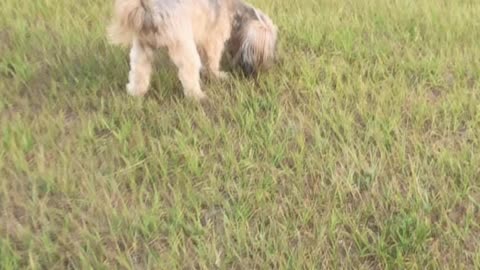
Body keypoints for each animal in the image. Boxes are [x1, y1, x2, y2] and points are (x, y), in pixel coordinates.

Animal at [106, 0, 276, 100]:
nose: (269, 66)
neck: (234, 10)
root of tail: (149, 11)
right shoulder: (213, 38)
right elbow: (212, 60)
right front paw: (217, 75)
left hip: (141, 50)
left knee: (139, 73)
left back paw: (135, 92)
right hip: (184, 47)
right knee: (188, 74)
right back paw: (197, 96)